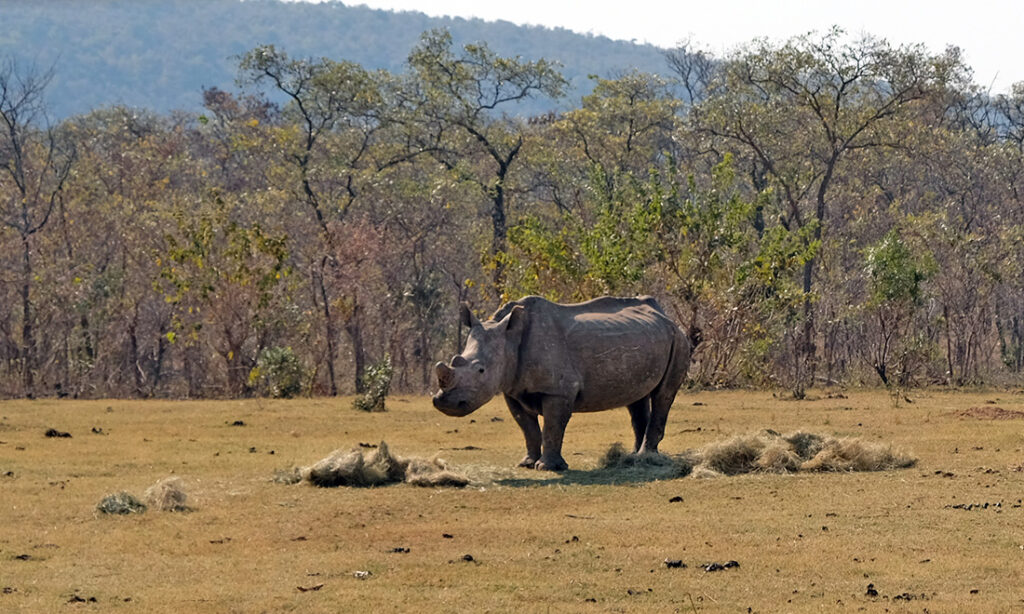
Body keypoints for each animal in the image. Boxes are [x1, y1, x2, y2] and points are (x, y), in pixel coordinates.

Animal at [434, 294, 696, 472]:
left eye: (481, 370)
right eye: (456, 359)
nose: (443, 403)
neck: (510, 339)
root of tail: (665, 315)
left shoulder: (559, 391)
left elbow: (553, 426)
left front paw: (547, 467)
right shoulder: (512, 389)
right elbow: (527, 427)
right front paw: (526, 463)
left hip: (679, 340)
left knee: (662, 395)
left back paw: (645, 458)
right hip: (649, 338)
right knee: (637, 399)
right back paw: (633, 458)